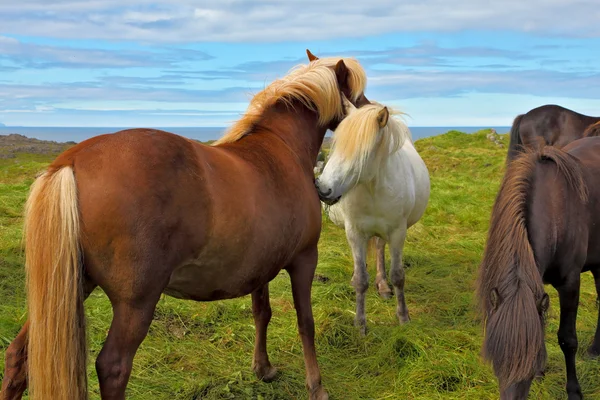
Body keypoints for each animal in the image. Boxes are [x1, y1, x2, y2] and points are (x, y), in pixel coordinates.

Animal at [1, 56, 370, 400]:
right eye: (354, 90)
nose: (369, 108)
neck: (281, 148)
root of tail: (71, 161)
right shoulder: (305, 259)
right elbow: (305, 323)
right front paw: (316, 386)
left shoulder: (260, 267)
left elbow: (261, 313)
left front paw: (263, 368)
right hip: (135, 304)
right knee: (113, 366)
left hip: (72, 286)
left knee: (20, 355)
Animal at [316, 97, 428, 334]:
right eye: (335, 146)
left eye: (363, 153)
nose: (323, 189)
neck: (374, 187)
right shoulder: (355, 233)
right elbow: (361, 279)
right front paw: (360, 324)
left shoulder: (397, 233)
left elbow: (398, 276)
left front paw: (403, 317)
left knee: (378, 248)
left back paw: (383, 285)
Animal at [480, 136, 600, 398]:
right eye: (496, 363)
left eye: (529, 363)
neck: (553, 207)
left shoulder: (570, 283)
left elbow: (567, 339)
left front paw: (574, 391)